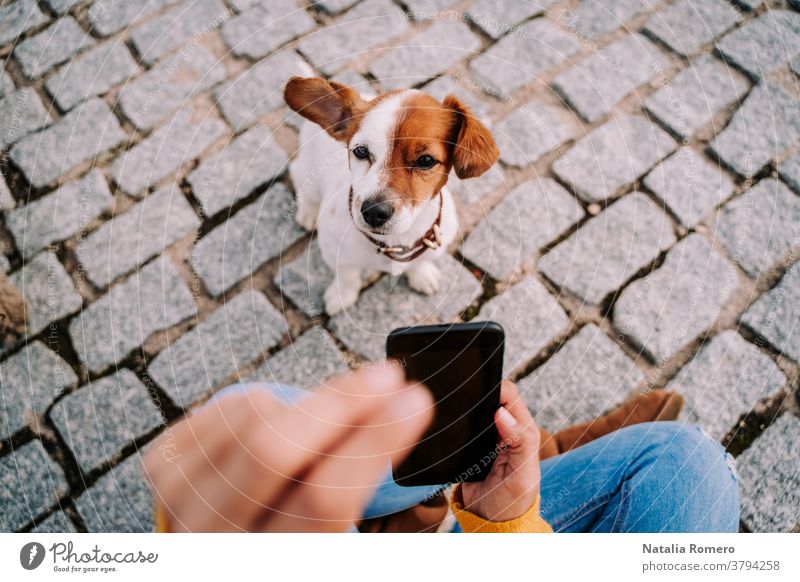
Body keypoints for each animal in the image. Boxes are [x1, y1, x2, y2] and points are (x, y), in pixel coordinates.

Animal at [284, 78, 496, 318]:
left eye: (426, 160)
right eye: (360, 151)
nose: (373, 212)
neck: (395, 243)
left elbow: (419, 263)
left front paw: (422, 274)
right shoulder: (332, 249)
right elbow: (347, 275)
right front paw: (342, 296)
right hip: (307, 176)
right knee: (300, 180)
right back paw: (308, 212)